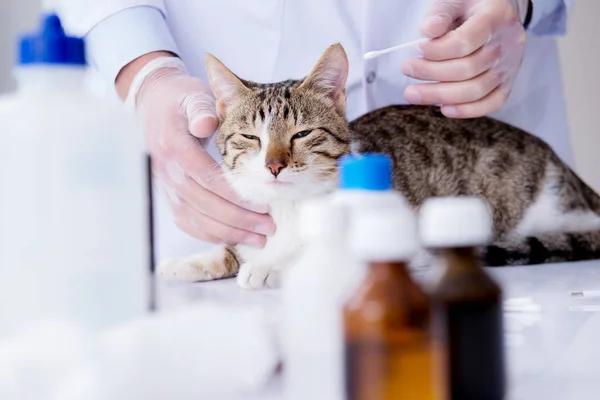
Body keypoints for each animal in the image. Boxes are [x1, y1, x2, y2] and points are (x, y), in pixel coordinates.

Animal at [158, 42, 600, 290]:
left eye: (301, 134)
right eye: (252, 138)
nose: (274, 166)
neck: (290, 208)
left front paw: (271, 268)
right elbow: (234, 246)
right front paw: (193, 260)